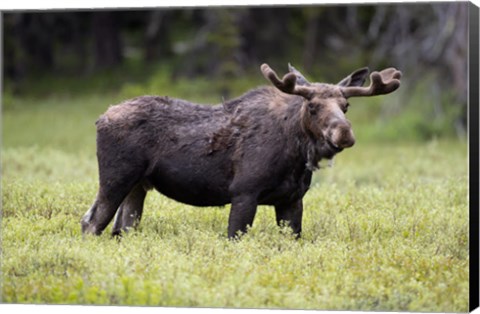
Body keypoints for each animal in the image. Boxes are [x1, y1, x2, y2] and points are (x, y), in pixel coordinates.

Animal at [81, 62, 402, 238]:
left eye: (346, 106)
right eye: (312, 106)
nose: (344, 133)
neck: (295, 158)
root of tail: (100, 118)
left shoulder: (292, 200)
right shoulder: (244, 193)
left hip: (138, 186)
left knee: (121, 229)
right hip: (116, 178)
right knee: (91, 222)